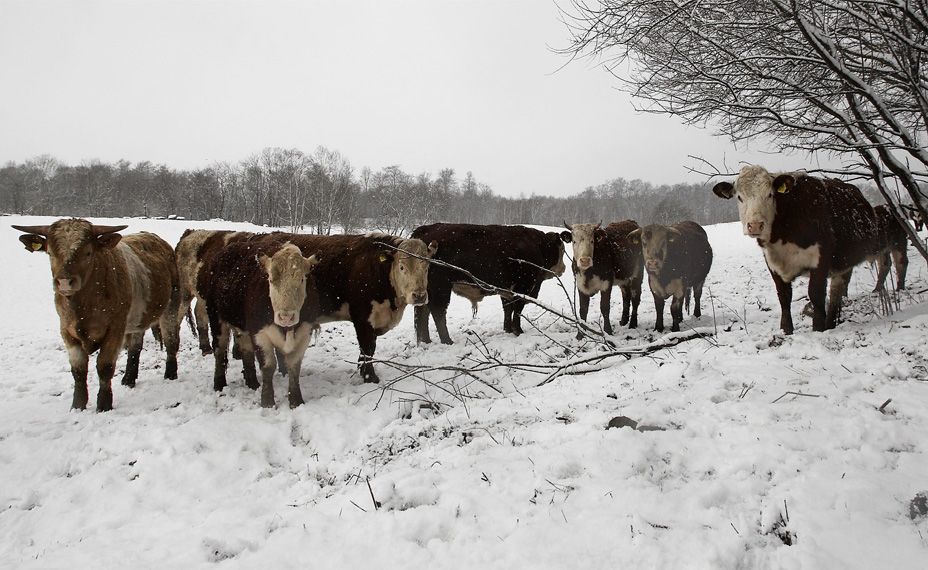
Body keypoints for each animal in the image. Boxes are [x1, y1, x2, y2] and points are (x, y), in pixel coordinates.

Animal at [198, 237, 320, 406]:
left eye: (302, 279)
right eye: (270, 279)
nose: (286, 317)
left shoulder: (305, 332)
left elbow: (294, 367)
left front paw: (296, 401)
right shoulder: (259, 333)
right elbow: (268, 366)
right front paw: (267, 401)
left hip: (242, 328)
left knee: (246, 350)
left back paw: (252, 382)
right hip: (217, 318)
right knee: (219, 351)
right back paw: (219, 384)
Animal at [250, 230, 436, 382]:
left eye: (427, 267)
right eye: (402, 267)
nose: (419, 295)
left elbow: (370, 349)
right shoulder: (362, 317)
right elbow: (367, 347)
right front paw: (369, 377)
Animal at [412, 224, 568, 344]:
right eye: (561, 248)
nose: (564, 269)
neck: (538, 246)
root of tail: (426, 228)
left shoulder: (507, 289)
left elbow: (508, 308)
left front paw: (508, 329)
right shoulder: (523, 287)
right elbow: (518, 309)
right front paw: (518, 331)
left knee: (422, 311)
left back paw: (425, 341)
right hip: (441, 287)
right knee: (437, 311)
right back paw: (447, 341)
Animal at [716, 164, 888, 332]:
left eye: (770, 194)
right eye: (739, 197)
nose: (755, 225)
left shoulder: (821, 258)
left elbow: (815, 294)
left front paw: (818, 329)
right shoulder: (772, 263)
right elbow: (784, 296)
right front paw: (786, 330)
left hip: (844, 263)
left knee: (835, 294)